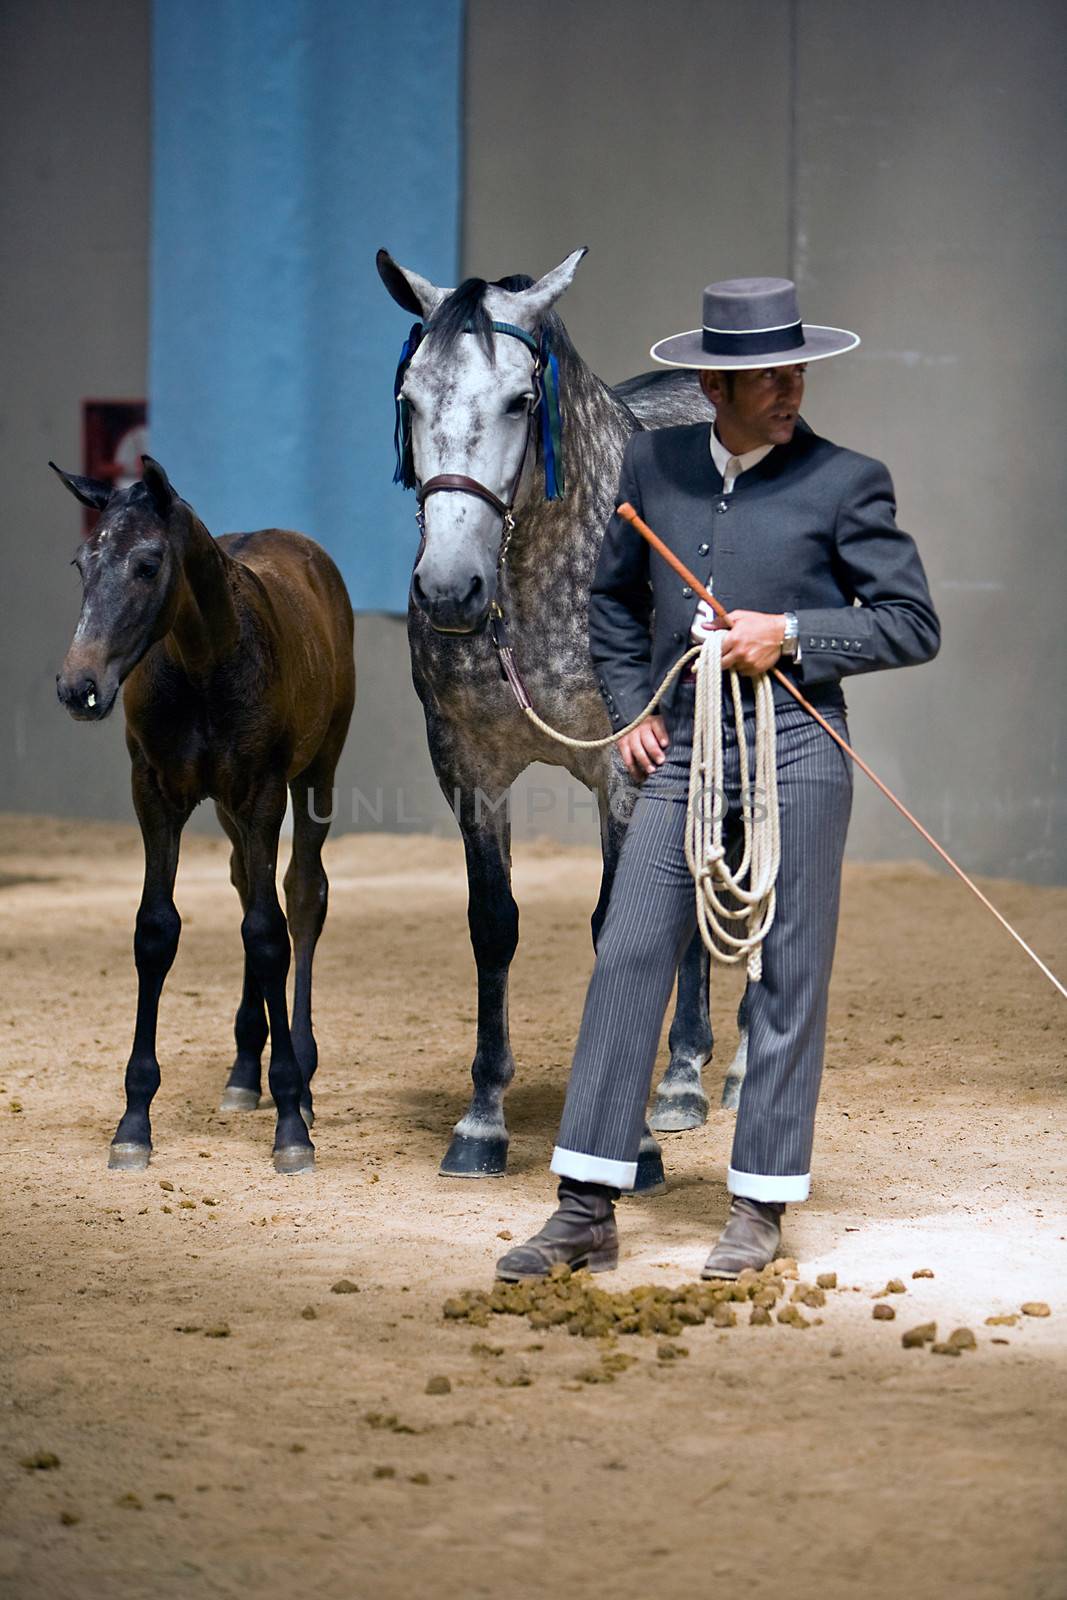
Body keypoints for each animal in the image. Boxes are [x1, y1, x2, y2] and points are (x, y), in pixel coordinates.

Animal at [379, 246, 748, 1190]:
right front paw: (481, 1121)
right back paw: (680, 1076)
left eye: (521, 399)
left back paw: (723, 1077)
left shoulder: (619, 764)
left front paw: (633, 1144)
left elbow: (618, 925)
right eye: (409, 398)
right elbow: (494, 926)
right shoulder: (467, 768)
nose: (449, 589)